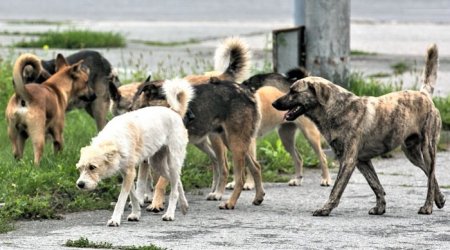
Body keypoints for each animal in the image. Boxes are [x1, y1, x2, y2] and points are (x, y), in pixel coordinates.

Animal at [76, 78, 195, 227]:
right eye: (80, 169)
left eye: (92, 167)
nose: (80, 184)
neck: (113, 140)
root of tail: (174, 111)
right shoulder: (127, 173)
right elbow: (133, 196)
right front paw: (136, 214)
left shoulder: (130, 173)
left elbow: (121, 199)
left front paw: (115, 219)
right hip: (157, 164)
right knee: (177, 181)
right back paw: (184, 205)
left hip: (172, 162)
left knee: (174, 190)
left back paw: (169, 214)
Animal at [272, 44, 444, 216]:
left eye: (294, 92)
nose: (273, 103)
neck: (337, 109)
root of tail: (423, 94)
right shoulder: (362, 161)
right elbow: (376, 185)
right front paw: (380, 207)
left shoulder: (348, 161)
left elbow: (336, 189)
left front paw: (325, 208)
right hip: (411, 153)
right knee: (430, 173)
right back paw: (440, 198)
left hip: (428, 148)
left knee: (430, 176)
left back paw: (428, 206)